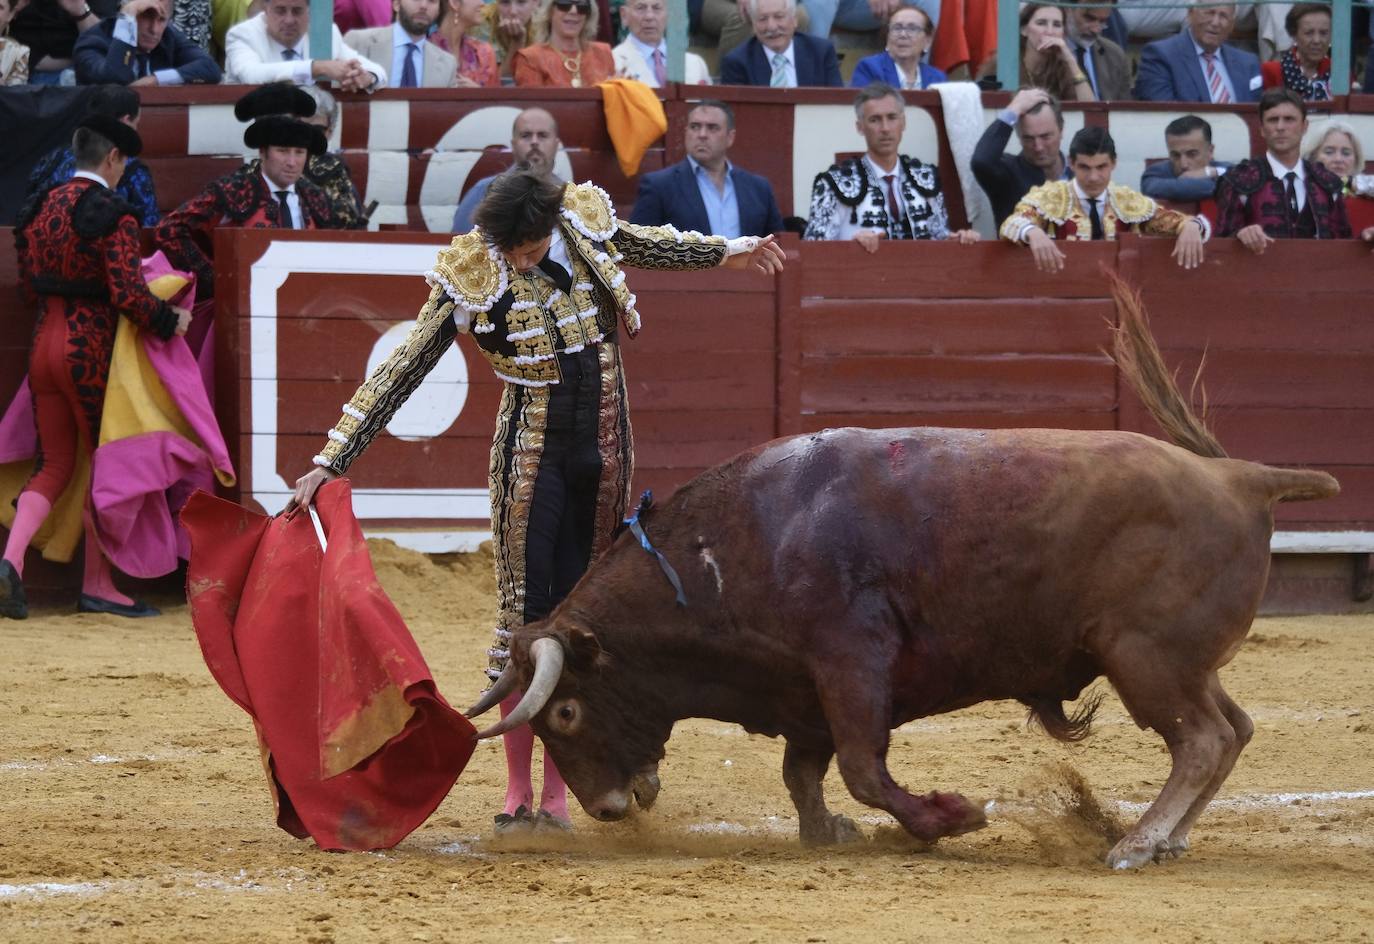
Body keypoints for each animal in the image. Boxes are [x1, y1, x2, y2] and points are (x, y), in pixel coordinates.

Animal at [467, 283, 1335, 873]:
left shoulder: (851, 663)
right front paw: (830, 834)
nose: (608, 809)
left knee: (1203, 739)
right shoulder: (804, 691)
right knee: (1233, 730)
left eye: (567, 711)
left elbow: (861, 768)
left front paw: (953, 817)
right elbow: (804, 774)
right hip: (1181, 662)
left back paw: (1135, 843)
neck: (738, 544)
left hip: (1144, 657)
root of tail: (1241, 478)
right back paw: (1169, 838)